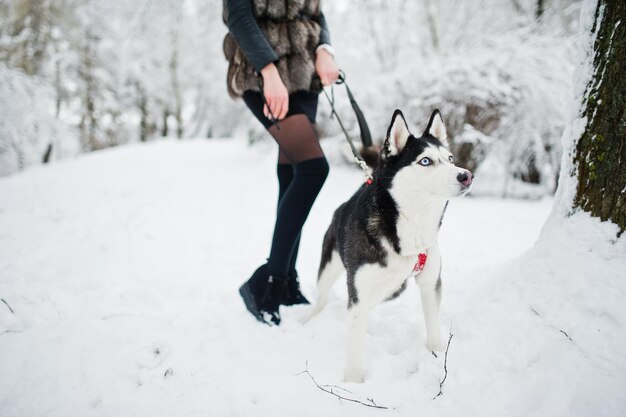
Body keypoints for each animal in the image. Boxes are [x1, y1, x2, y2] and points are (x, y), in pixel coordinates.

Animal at [304, 109, 472, 380]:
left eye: (450, 158)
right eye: (425, 161)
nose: (466, 175)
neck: (409, 229)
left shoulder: (430, 283)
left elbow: (433, 327)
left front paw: (435, 354)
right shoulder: (359, 293)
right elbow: (355, 346)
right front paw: (353, 382)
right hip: (330, 266)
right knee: (321, 298)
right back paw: (306, 318)